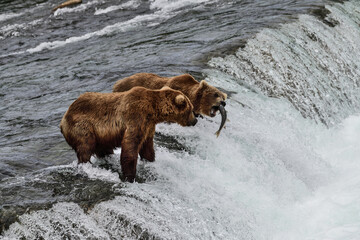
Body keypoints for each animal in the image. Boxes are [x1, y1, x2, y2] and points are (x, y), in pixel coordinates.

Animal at [60, 86, 198, 182]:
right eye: (191, 109)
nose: (195, 121)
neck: (153, 111)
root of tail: (62, 121)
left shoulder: (148, 126)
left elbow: (147, 146)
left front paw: (150, 160)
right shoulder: (135, 116)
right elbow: (130, 145)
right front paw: (130, 176)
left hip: (101, 136)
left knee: (103, 149)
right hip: (82, 126)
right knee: (85, 146)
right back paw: (87, 165)